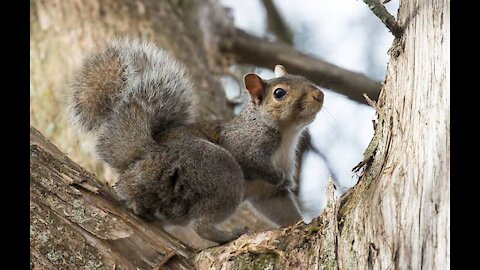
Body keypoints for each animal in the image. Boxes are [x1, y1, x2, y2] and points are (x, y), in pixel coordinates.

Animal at [67, 38, 324, 245]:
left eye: (304, 78)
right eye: (279, 93)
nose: (319, 95)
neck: (287, 135)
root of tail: (144, 157)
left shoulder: (269, 194)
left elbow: (281, 209)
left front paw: (303, 223)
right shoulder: (244, 143)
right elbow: (252, 160)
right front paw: (278, 176)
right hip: (220, 171)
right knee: (200, 225)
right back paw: (228, 234)